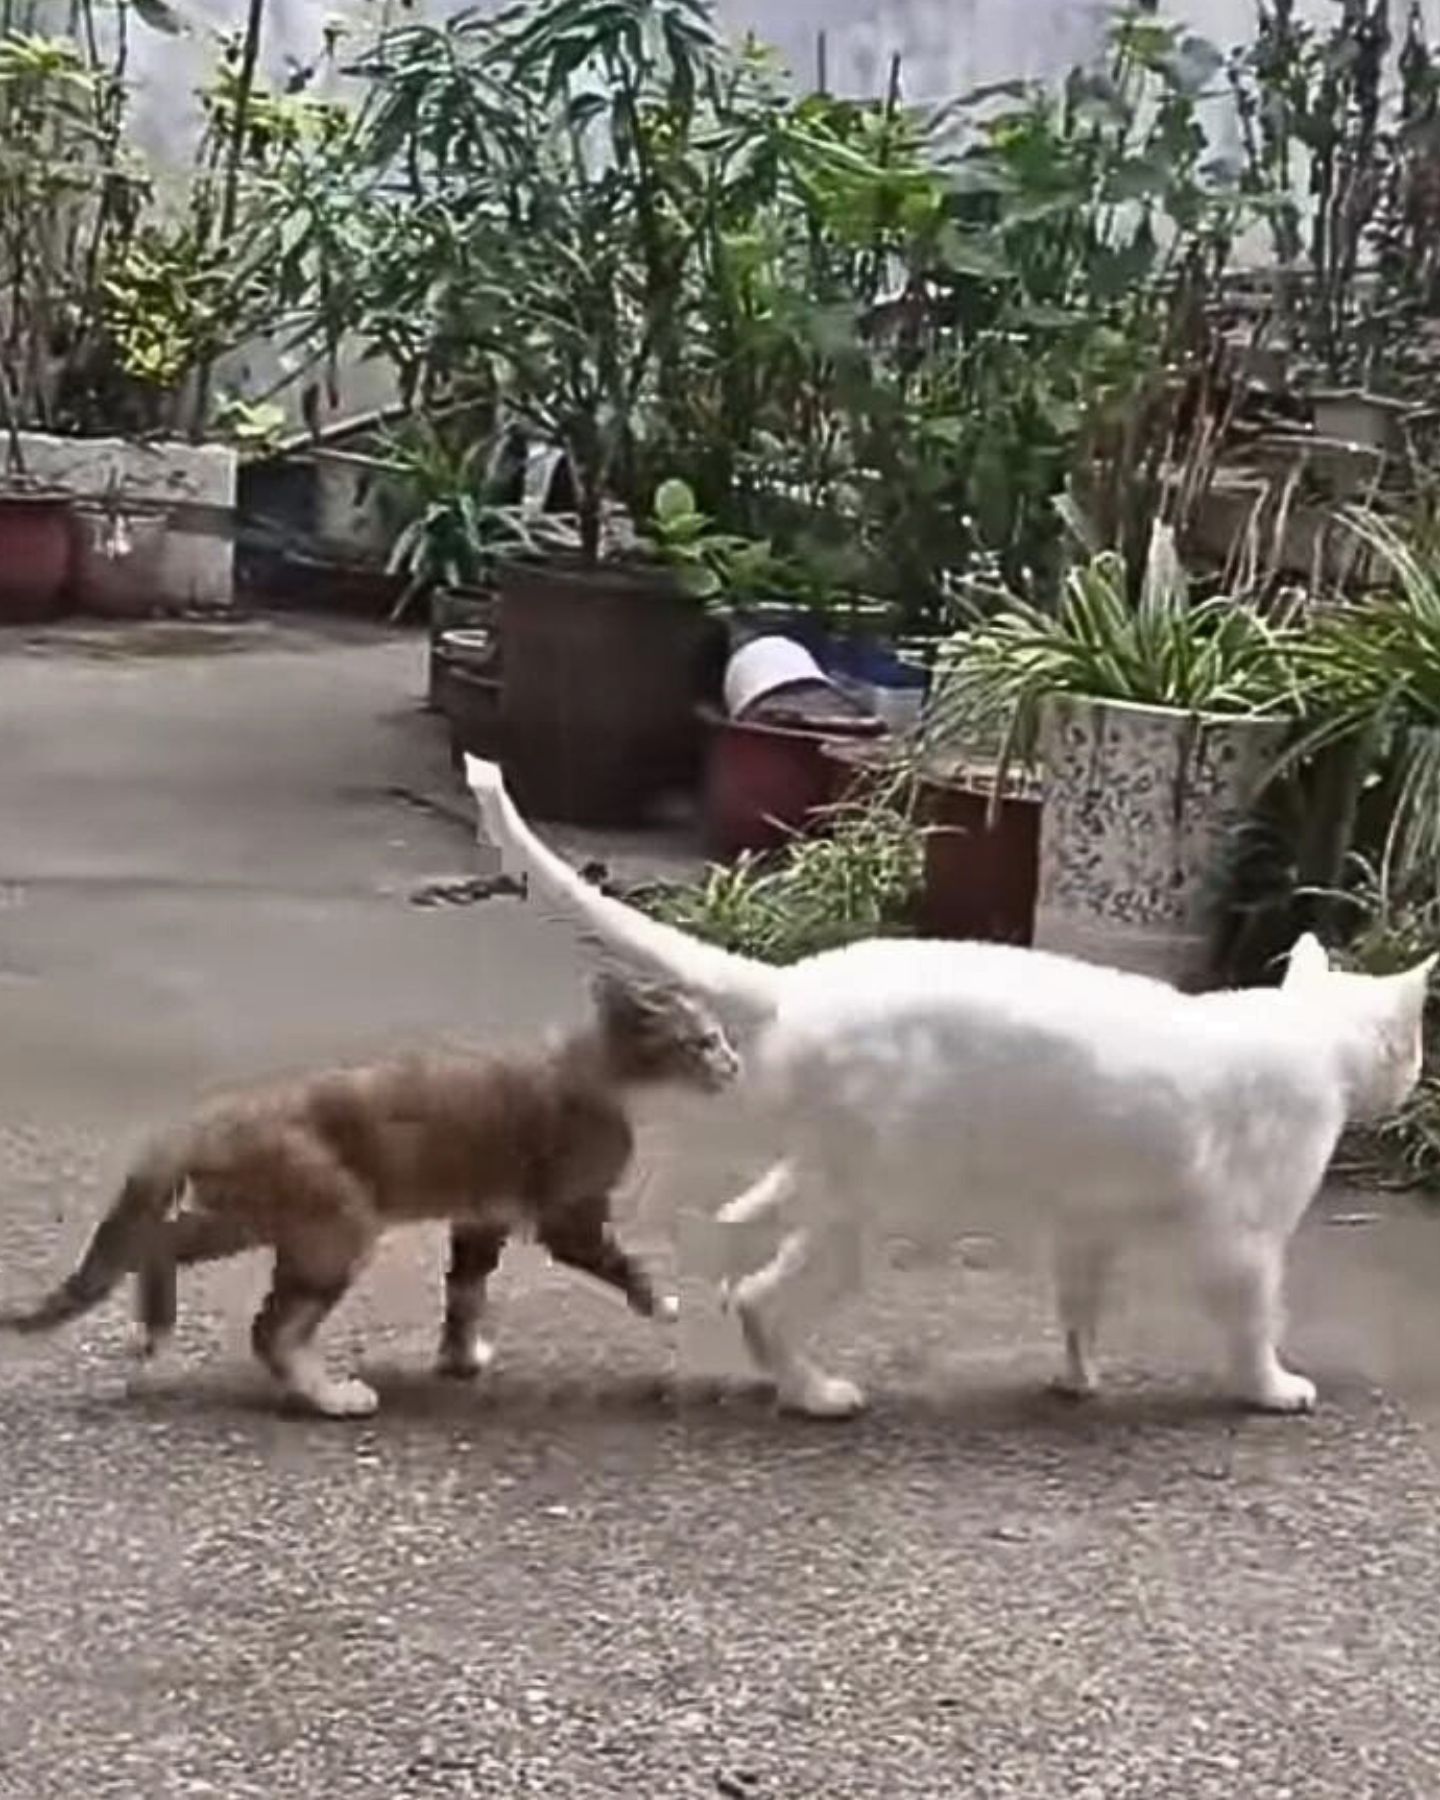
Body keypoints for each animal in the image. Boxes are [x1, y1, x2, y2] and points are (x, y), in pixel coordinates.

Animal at [0, 979, 738, 1411]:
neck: (599, 1067)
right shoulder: (568, 1214)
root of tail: (210, 1116)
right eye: (702, 1041)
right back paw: (330, 1395)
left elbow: (466, 1291)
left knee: (161, 1241)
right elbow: (618, 1260)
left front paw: (459, 1358)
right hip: (336, 1222)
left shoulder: (483, 1214)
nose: (734, 1064)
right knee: (269, 1327)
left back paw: (155, 1336)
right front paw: (665, 1303)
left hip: (256, 1212)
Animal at [468, 752, 1425, 1411]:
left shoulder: (1088, 1223)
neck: (1307, 1030)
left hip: (837, 1184)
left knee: (747, 1255)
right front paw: (1271, 1388)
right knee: (760, 1297)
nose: (1412, 1087)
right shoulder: (1245, 1241)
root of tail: (802, 981)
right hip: (881, 1205)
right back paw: (816, 1396)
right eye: (1412, 1047)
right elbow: (1256, 1320)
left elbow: (1079, 1305)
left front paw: (1079, 1377)